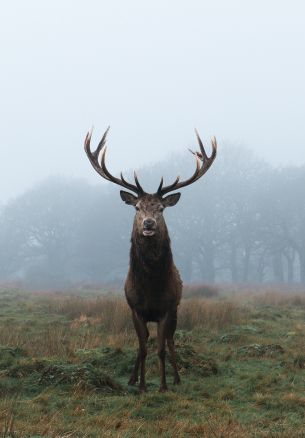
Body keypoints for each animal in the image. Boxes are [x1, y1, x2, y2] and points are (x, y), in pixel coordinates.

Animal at [83, 128, 216, 392]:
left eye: (161, 209)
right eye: (136, 207)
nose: (148, 224)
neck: (151, 288)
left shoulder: (167, 308)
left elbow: (161, 348)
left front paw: (163, 385)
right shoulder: (135, 309)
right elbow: (143, 348)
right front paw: (142, 385)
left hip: (176, 311)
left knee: (171, 340)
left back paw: (176, 378)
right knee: (143, 343)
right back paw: (132, 378)